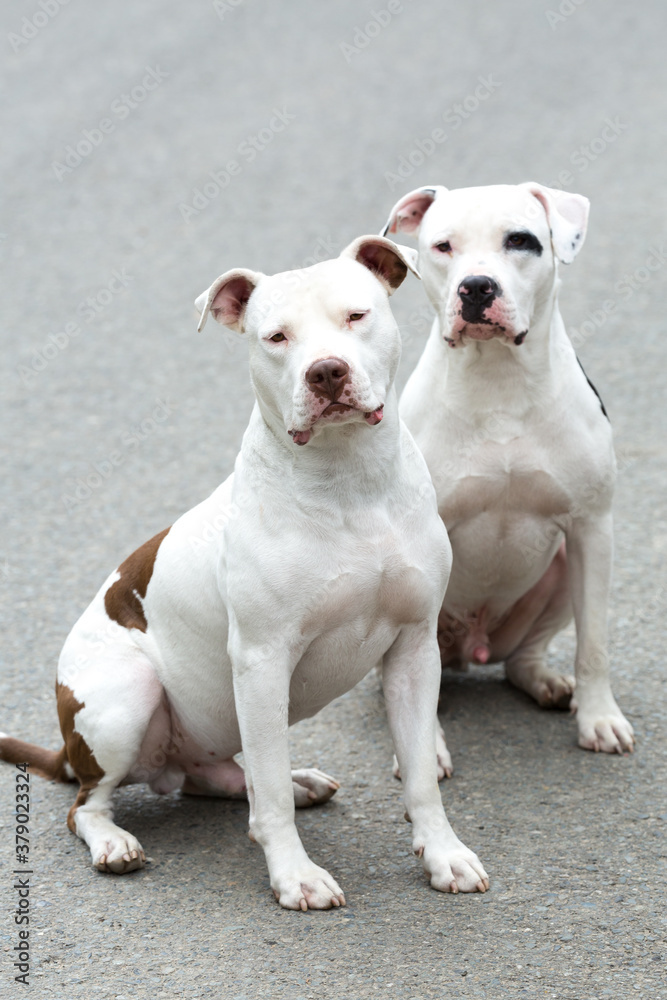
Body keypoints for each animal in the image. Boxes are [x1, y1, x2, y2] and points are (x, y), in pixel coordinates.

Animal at [1, 234, 490, 908]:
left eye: (356, 316)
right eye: (276, 337)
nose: (326, 371)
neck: (349, 482)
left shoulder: (416, 649)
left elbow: (419, 775)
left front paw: (444, 855)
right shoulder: (262, 661)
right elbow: (272, 798)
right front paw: (295, 875)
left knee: (223, 776)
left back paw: (295, 779)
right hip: (127, 696)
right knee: (90, 805)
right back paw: (114, 843)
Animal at [384, 184, 636, 768]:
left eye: (520, 241)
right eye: (443, 246)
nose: (477, 286)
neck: (497, 375)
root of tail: (472, 648)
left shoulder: (592, 529)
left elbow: (594, 644)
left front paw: (600, 717)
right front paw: (424, 749)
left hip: (561, 568)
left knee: (523, 656)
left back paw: (547, 682)